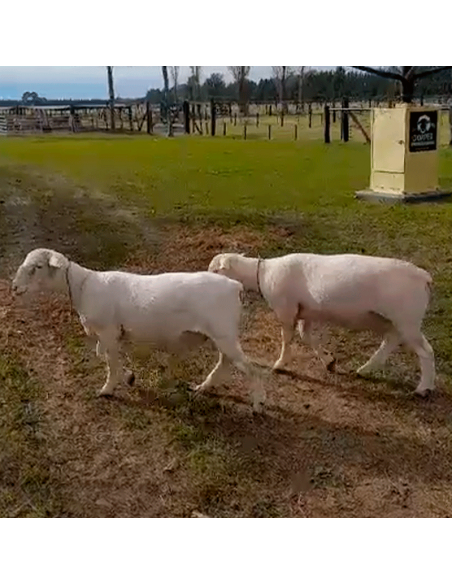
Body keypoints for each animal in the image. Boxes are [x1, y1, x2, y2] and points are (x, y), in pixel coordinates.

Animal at [11, 248, 264, 410]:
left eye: (38, 267)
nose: (14, 288)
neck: (82, 287)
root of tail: (235, 286)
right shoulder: (111, 334)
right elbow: (104, 356)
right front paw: (129, 377)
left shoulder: (108, 331)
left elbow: (110, 362)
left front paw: (107, 389)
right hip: (221, 334)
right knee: (225, 363)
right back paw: (203, 387)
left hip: (223, 332)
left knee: (250, 369)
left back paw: (257, 404)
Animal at [208, 252, 434, 396]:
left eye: (215, 270)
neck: (262, 273)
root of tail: (423, 276)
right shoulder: (305, 311)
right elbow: (306, 336)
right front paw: (329, 361)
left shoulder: (286, 309)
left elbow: (287, 338)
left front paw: (280, 364)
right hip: (393, 320)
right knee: (391, 341)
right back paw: (366, 369)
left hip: (407, 318)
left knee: (425, 351)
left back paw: (424, 388)